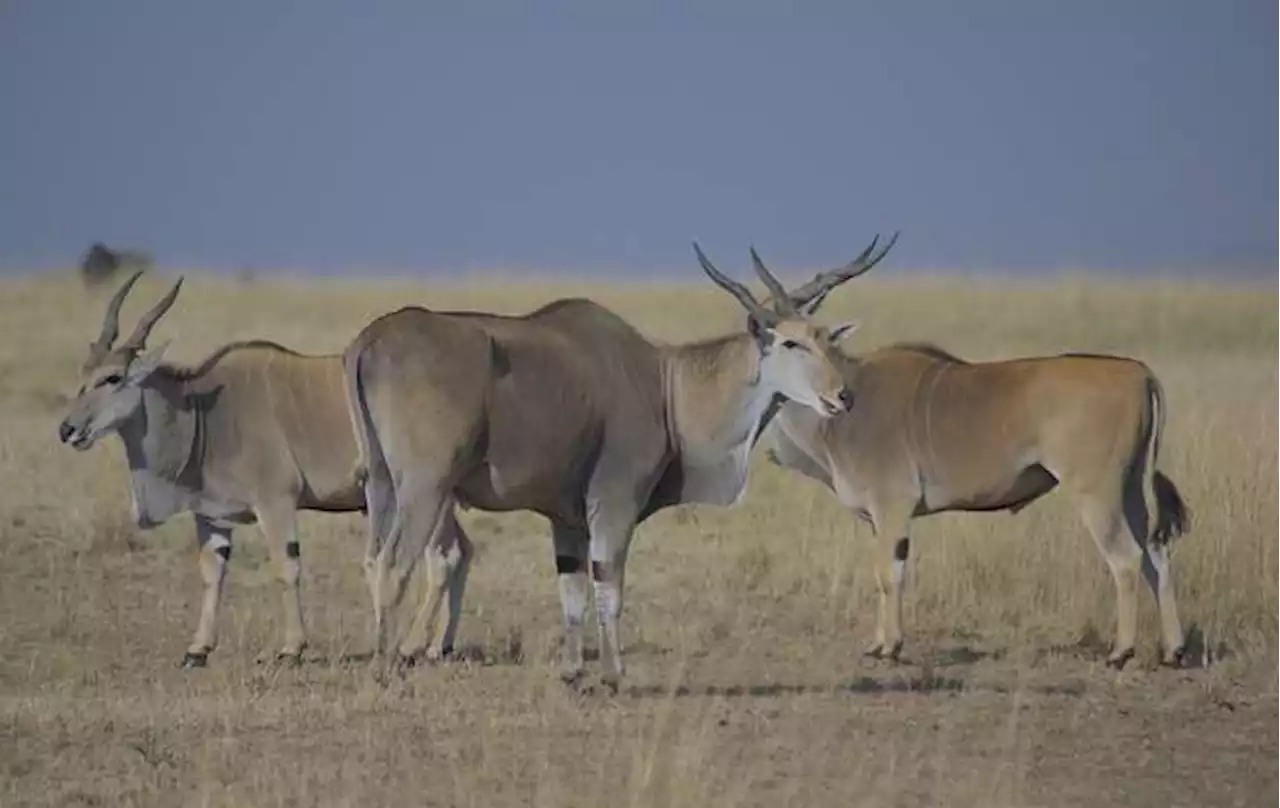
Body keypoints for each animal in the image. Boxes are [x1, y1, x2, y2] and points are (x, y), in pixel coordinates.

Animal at [57, 274, 478, 670]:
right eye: (83, 375)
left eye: (112, 378)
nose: (67, 430)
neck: (206, 411)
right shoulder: (211, 514)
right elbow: (212, 572)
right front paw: (197, 649)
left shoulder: (275, 501)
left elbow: (286, 567)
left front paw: (291, 648)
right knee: (460, 552)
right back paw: (439, 645)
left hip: (427, 496)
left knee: (444, 558)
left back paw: (417, 646)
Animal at [345, 238, 896, 691]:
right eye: (790, 342)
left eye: (828, 339)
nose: (842, 396)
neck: (664, 383)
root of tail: (373, 339)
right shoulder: (614, 502)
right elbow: (609, 583)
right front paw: (613, 675)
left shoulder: (565, 519)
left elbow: (571, 590)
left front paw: (573, 673)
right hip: (426, 487)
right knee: (394, 562)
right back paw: (385, 667)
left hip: (382, 486)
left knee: (372, 560)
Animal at [752, 244, 1192, 670]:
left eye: (787, 341)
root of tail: (1138, 372)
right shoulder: (879, 519)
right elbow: (882, 573)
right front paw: (877, 644)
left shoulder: (893, 507)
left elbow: (889, 574)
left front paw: (891, 648)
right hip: (1130, 488)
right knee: (1157, 556)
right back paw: (1173, 651)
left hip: (1097, 492)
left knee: (1126, 559)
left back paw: (1120, 652)